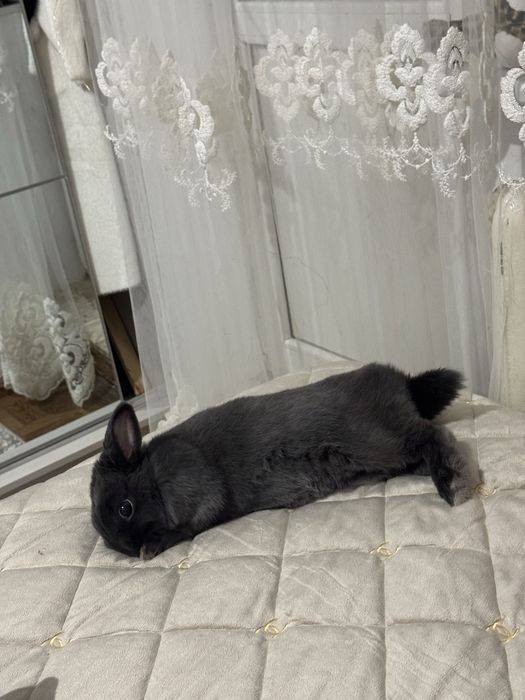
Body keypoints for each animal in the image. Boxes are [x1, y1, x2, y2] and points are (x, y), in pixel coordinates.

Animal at [90, 362, 471, 559]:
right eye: (100, 533)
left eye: (125, 508)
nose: (126, 549)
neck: (153, 474)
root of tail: (403, 383)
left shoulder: (197, 491)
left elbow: (184, 527)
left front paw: (151, 547)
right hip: (388, 456)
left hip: (380, 441)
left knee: (434, 437)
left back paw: (453, 483)